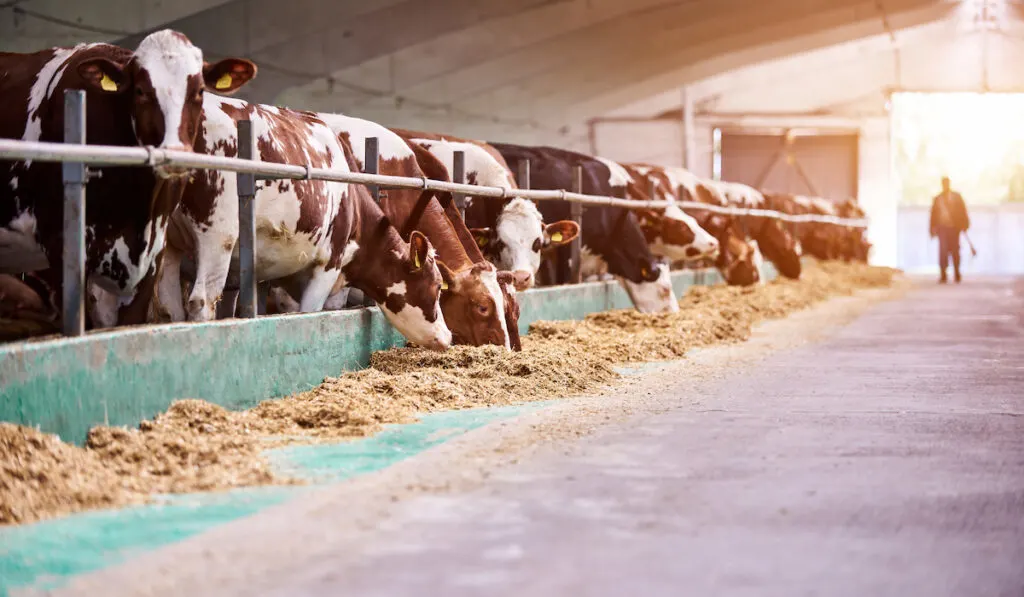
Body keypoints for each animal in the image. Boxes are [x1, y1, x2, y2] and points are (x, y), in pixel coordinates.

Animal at [152, 96, 452, 350]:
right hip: (217, 235)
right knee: (202, 301)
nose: (448, 337)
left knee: (170, 306)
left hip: (168, 242)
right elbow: (309, 314)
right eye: (437, 287)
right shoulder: (329, 263)